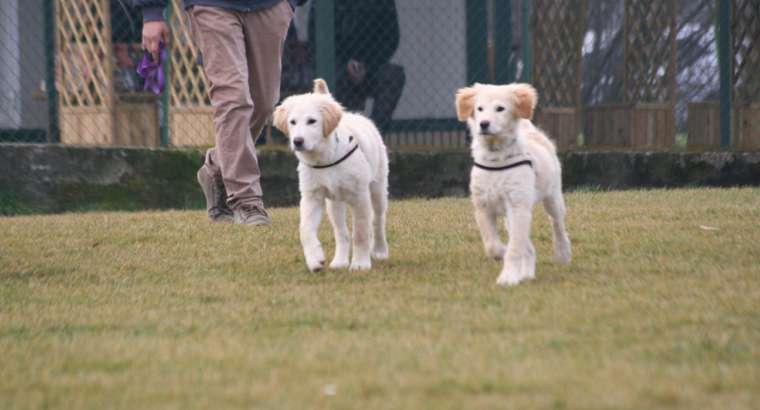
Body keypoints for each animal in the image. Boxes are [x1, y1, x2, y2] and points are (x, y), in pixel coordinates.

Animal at [274, 79, 392, 272]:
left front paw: (360, 264)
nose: (297, 141)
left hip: (378, 188)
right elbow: (305, 230)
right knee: (341, 232)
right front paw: (315, 260)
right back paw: (340, 261)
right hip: (334, 203)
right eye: (292, 122)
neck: (325, 158)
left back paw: (379, 251)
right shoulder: (312, 197)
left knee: (378, 220)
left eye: (312, 121)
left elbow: (360, 232)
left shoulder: (360, 196)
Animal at [458, 82, 568, 286]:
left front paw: (508, 276)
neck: (497, 157)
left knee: (557, 224)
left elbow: (515, 247)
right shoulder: (483, 207)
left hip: (553, 197)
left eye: (500, 108)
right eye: (479, 108)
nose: (483, 124)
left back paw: (563, 252)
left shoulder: (518, 205)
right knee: (527, 244)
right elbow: (492, 245)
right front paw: (503, 254)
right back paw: (526, 273)